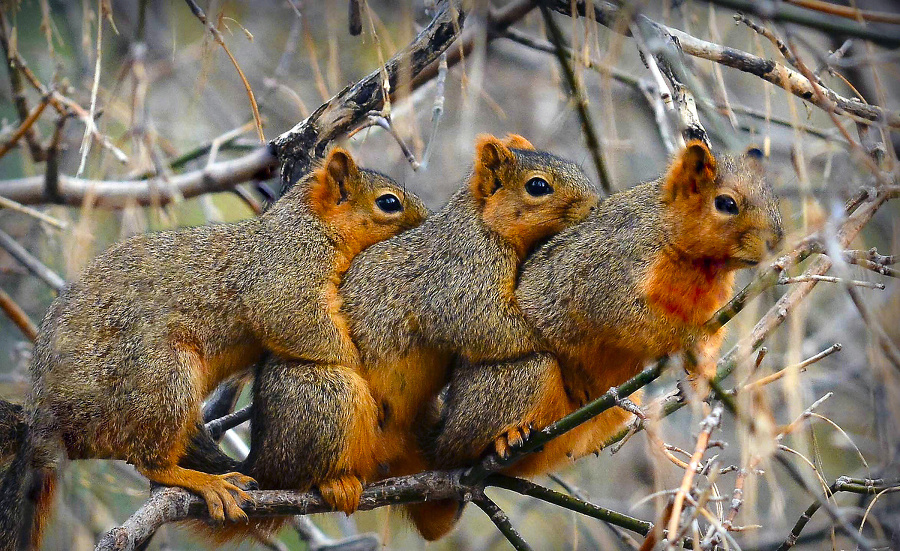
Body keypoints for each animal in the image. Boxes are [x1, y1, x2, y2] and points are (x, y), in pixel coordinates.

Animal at [0, 148, 428, 551]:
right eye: (389, 202)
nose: (425, 222)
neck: (308, 223)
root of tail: (47, 417)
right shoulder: (286, 272)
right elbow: (297, 321)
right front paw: (366, 375)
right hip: (162, 375)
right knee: (148, 460)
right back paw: (202, 481)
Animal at [178, 134, 596, 544]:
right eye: (538, 186)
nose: (593, 205)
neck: (480, 222)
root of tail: (260, 466)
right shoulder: (460, 275)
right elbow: (487, 325)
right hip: (322, 399)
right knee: (300, 472)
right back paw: (333, 483)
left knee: (435, 519)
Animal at [418, 140, 784, 540]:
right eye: (726, 204)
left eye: (771, 196)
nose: (776, 242)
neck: (702, 266)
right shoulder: (608, 276)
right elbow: (632, 320)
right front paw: (681, 342)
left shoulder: (715, 307)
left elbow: (712, 336)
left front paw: (701, 370)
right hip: (511, 382)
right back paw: (505, 436)